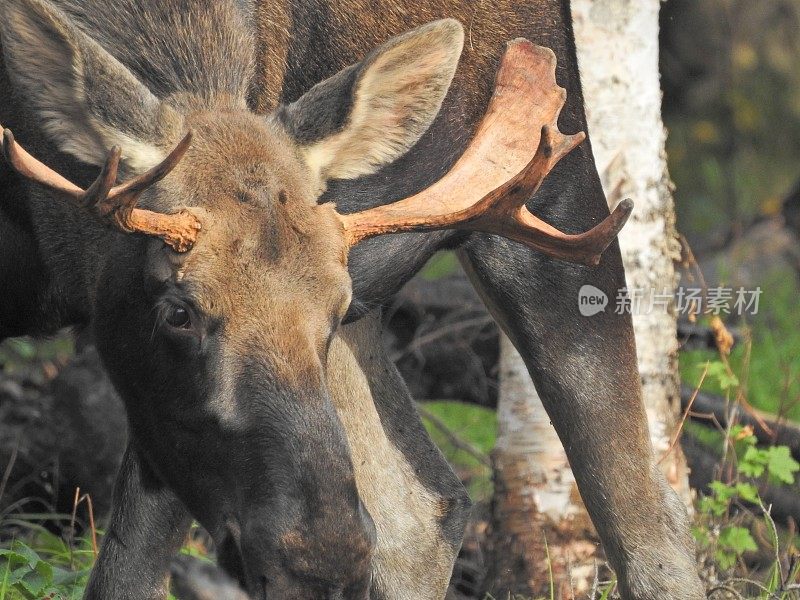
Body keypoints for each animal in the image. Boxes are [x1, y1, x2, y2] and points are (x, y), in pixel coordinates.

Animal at [1, 0, 708, 596]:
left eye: (332, 311)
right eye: (178, 311)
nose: (319, 557)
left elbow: (125, 574)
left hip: (559, 203)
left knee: (648, 516)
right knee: (422, 511)